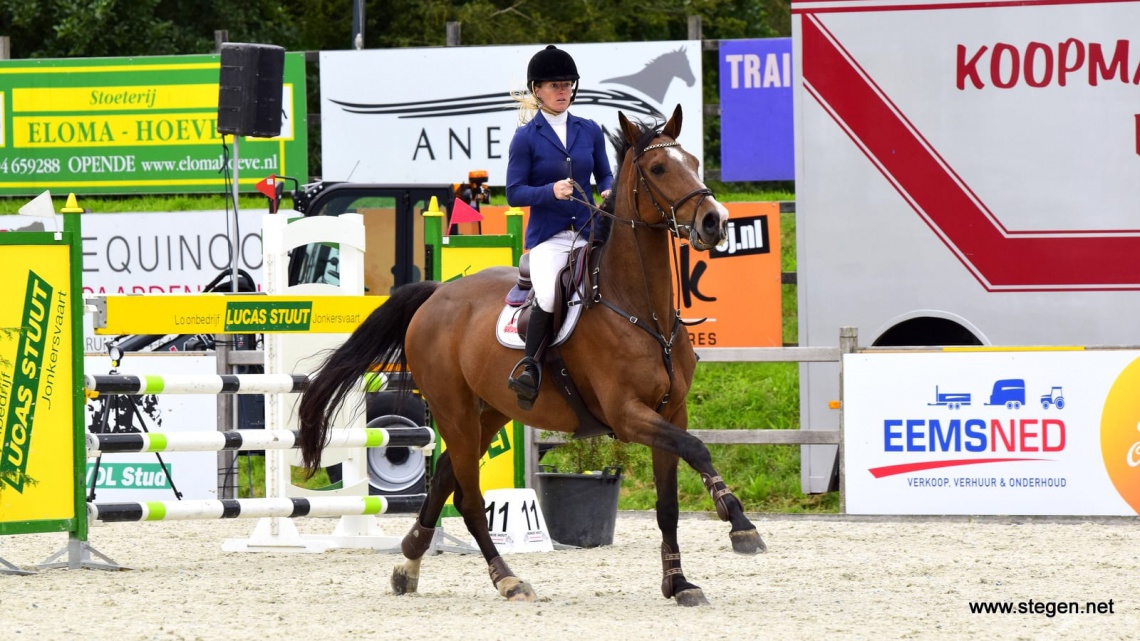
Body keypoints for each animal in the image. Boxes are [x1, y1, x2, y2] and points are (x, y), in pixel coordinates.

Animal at [303, 104, 766, 602]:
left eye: (695, 163)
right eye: (659, 168)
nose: (715, 221)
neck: (644, 311)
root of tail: (436, 294)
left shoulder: (670, 410)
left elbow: (669, 503)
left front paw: (679, 582)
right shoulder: (627, 415)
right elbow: (697, 448)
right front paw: (740, 524)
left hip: (489, 412)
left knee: (445, 477)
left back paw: (408, 564)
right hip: (454, 411)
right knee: (468, 498)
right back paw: (506, 578)